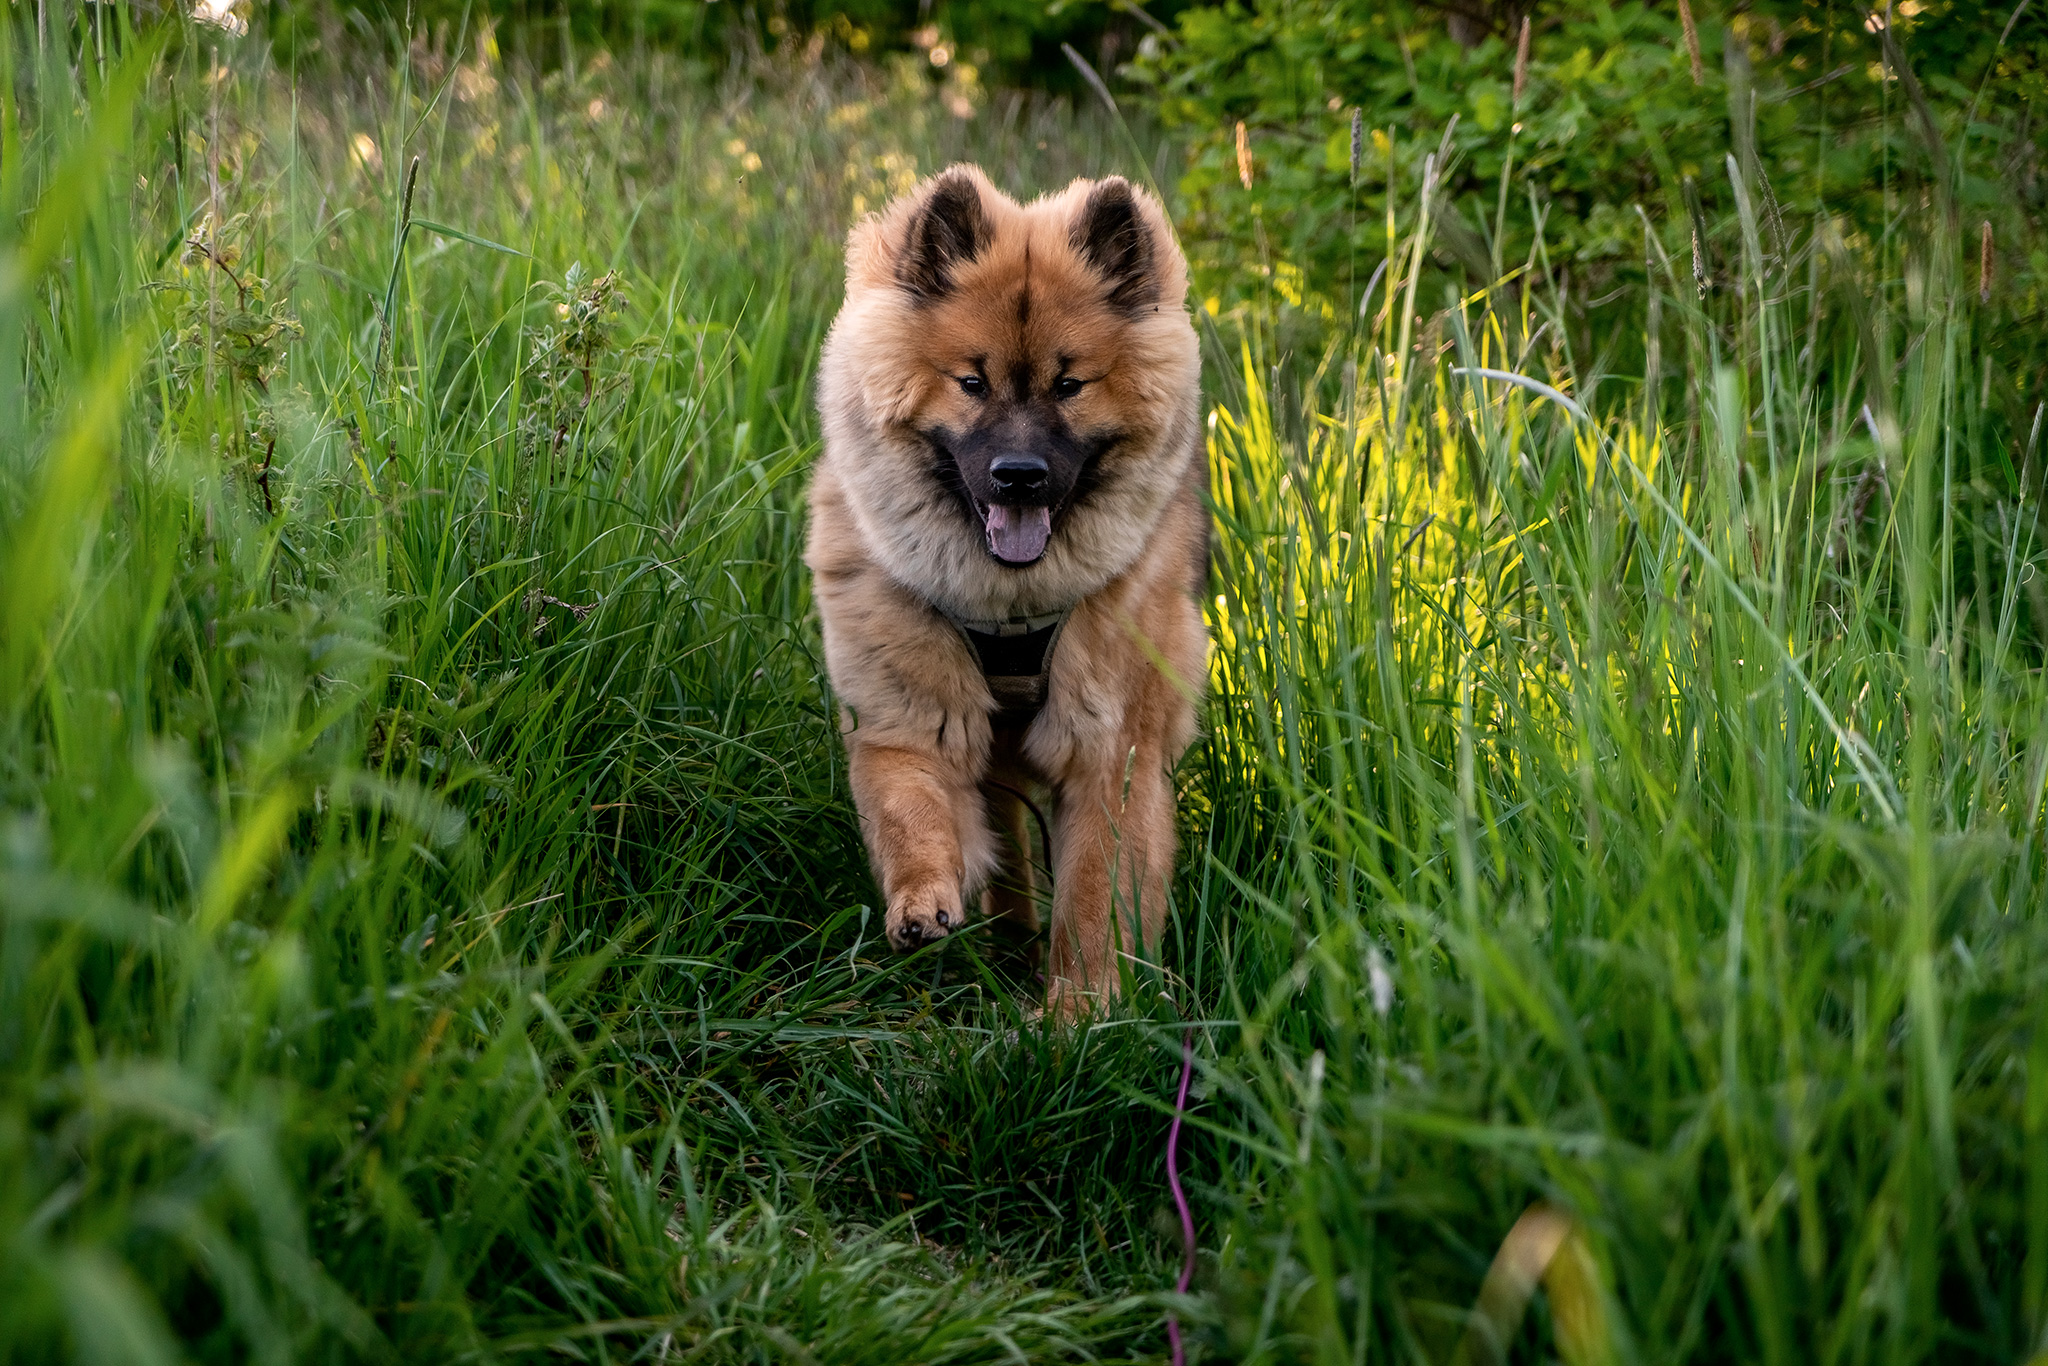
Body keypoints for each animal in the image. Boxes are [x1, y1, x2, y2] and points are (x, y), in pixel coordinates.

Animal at [806, 162, 1204, 1015]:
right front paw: (922, 902)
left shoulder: (1110, 751)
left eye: (1070, 385)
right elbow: (909, 809)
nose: (1017, 475)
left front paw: (1080, 1011)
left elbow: (1094, 893)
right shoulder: (907, 715)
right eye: (971, 382)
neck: (1010, 608)